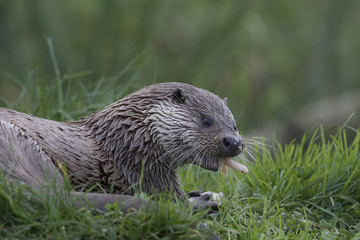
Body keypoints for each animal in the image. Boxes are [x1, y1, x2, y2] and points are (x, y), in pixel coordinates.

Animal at [0, 82, 248, 212]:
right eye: (206, 120)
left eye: (235, 125)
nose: (233, 141)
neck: (130, 136)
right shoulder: (144, 168)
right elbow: (171, 199)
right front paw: (199, 201)